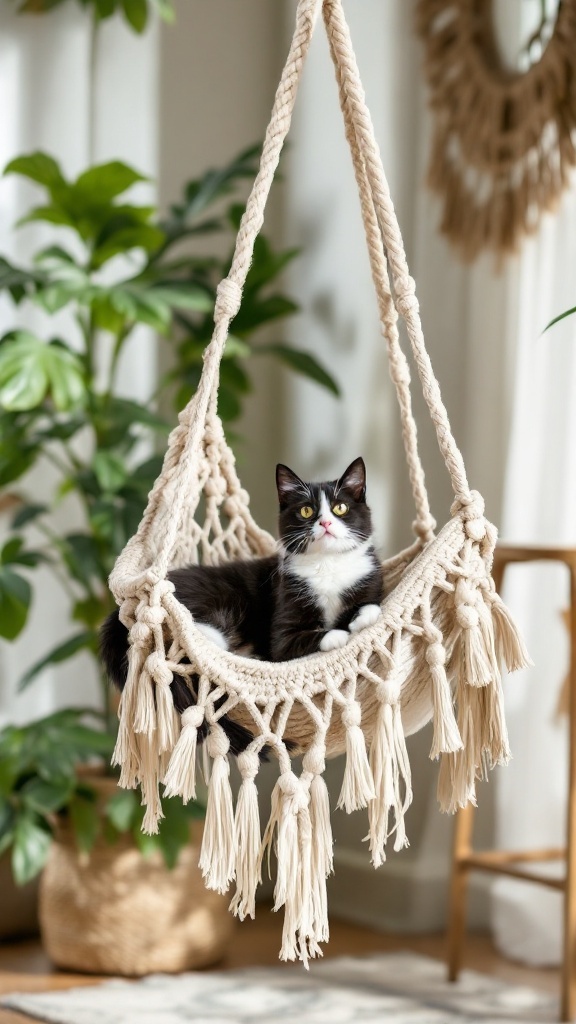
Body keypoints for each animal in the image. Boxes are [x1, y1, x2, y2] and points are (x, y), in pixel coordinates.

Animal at [99, 456, 381, 753]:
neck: (327, 564)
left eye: (340, 508)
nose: (325, 523)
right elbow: (292, 641)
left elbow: (370, 604)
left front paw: (363, 616)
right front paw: (337, 635)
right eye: (306, 511)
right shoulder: (283, 613)